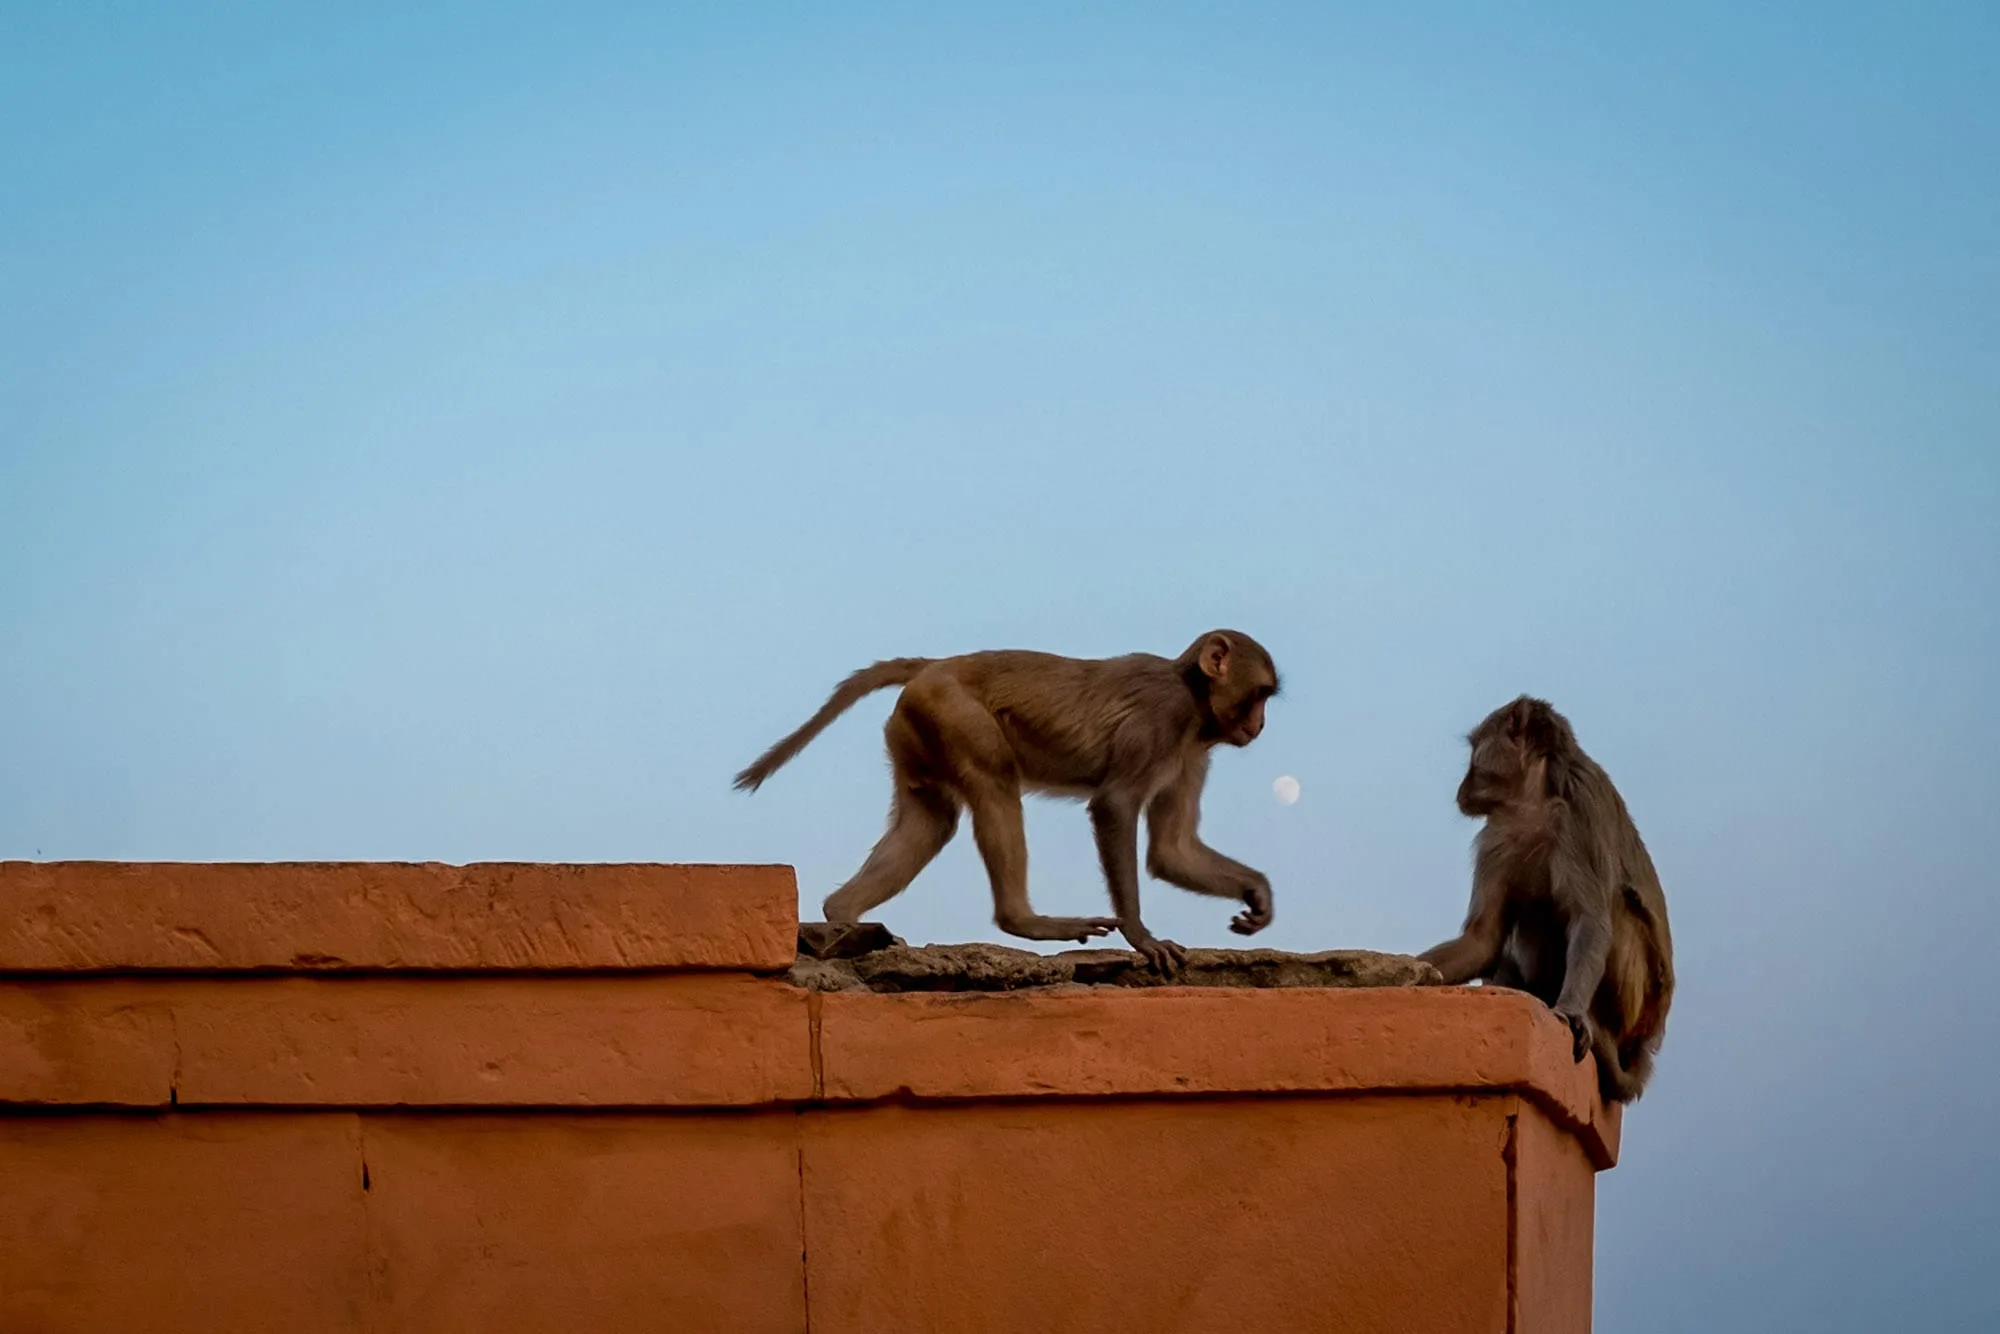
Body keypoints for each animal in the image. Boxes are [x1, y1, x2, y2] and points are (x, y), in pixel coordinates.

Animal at [734, 631, 1280, 972]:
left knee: (932, 819)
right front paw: (1141, 936)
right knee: (994, 782)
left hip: (916, 728)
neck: (1193, 699)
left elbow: (1171, 851)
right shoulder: (1160, 721)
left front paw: (1256, 895)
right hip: (952, 712)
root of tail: (936, 665)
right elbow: (1113, 806)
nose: (1259, 725)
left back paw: (843, 913)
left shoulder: (1191, 754)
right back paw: (1023, 920)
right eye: (1259, 695)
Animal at [1418, 696, 1674, 1103]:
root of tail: (1646, 1041)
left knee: (1614, 907)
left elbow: (1590, 920)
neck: (1533, 801)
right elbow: (1483, 941)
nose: (1462, 788)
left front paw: (1571, 1010)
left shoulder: (1577, 814)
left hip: (1634, 1004)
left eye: (1476, 750)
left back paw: (1597, 1027)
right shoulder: (1497, 837)